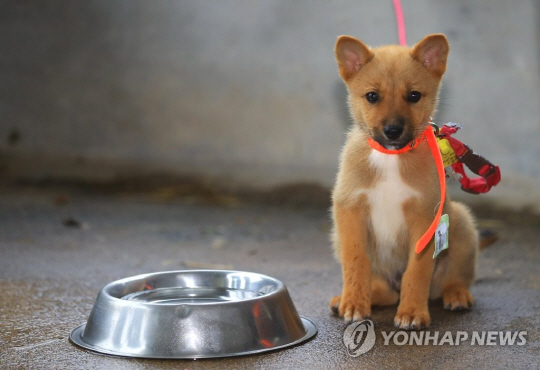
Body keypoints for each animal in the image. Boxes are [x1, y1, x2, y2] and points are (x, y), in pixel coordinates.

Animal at [330, 34, 476, 330]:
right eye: (372, 96)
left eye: (414, 96)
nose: (393, 131)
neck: (390, 158)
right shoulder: (349, 211)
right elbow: (356, 262)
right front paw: (354, 303)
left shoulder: (424, 219)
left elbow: (416, 271)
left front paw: (412, 312)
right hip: (337, 237)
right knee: (385, 292)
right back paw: (350, 298)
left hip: (461, 223)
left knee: (453, 277)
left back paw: (456, 294)